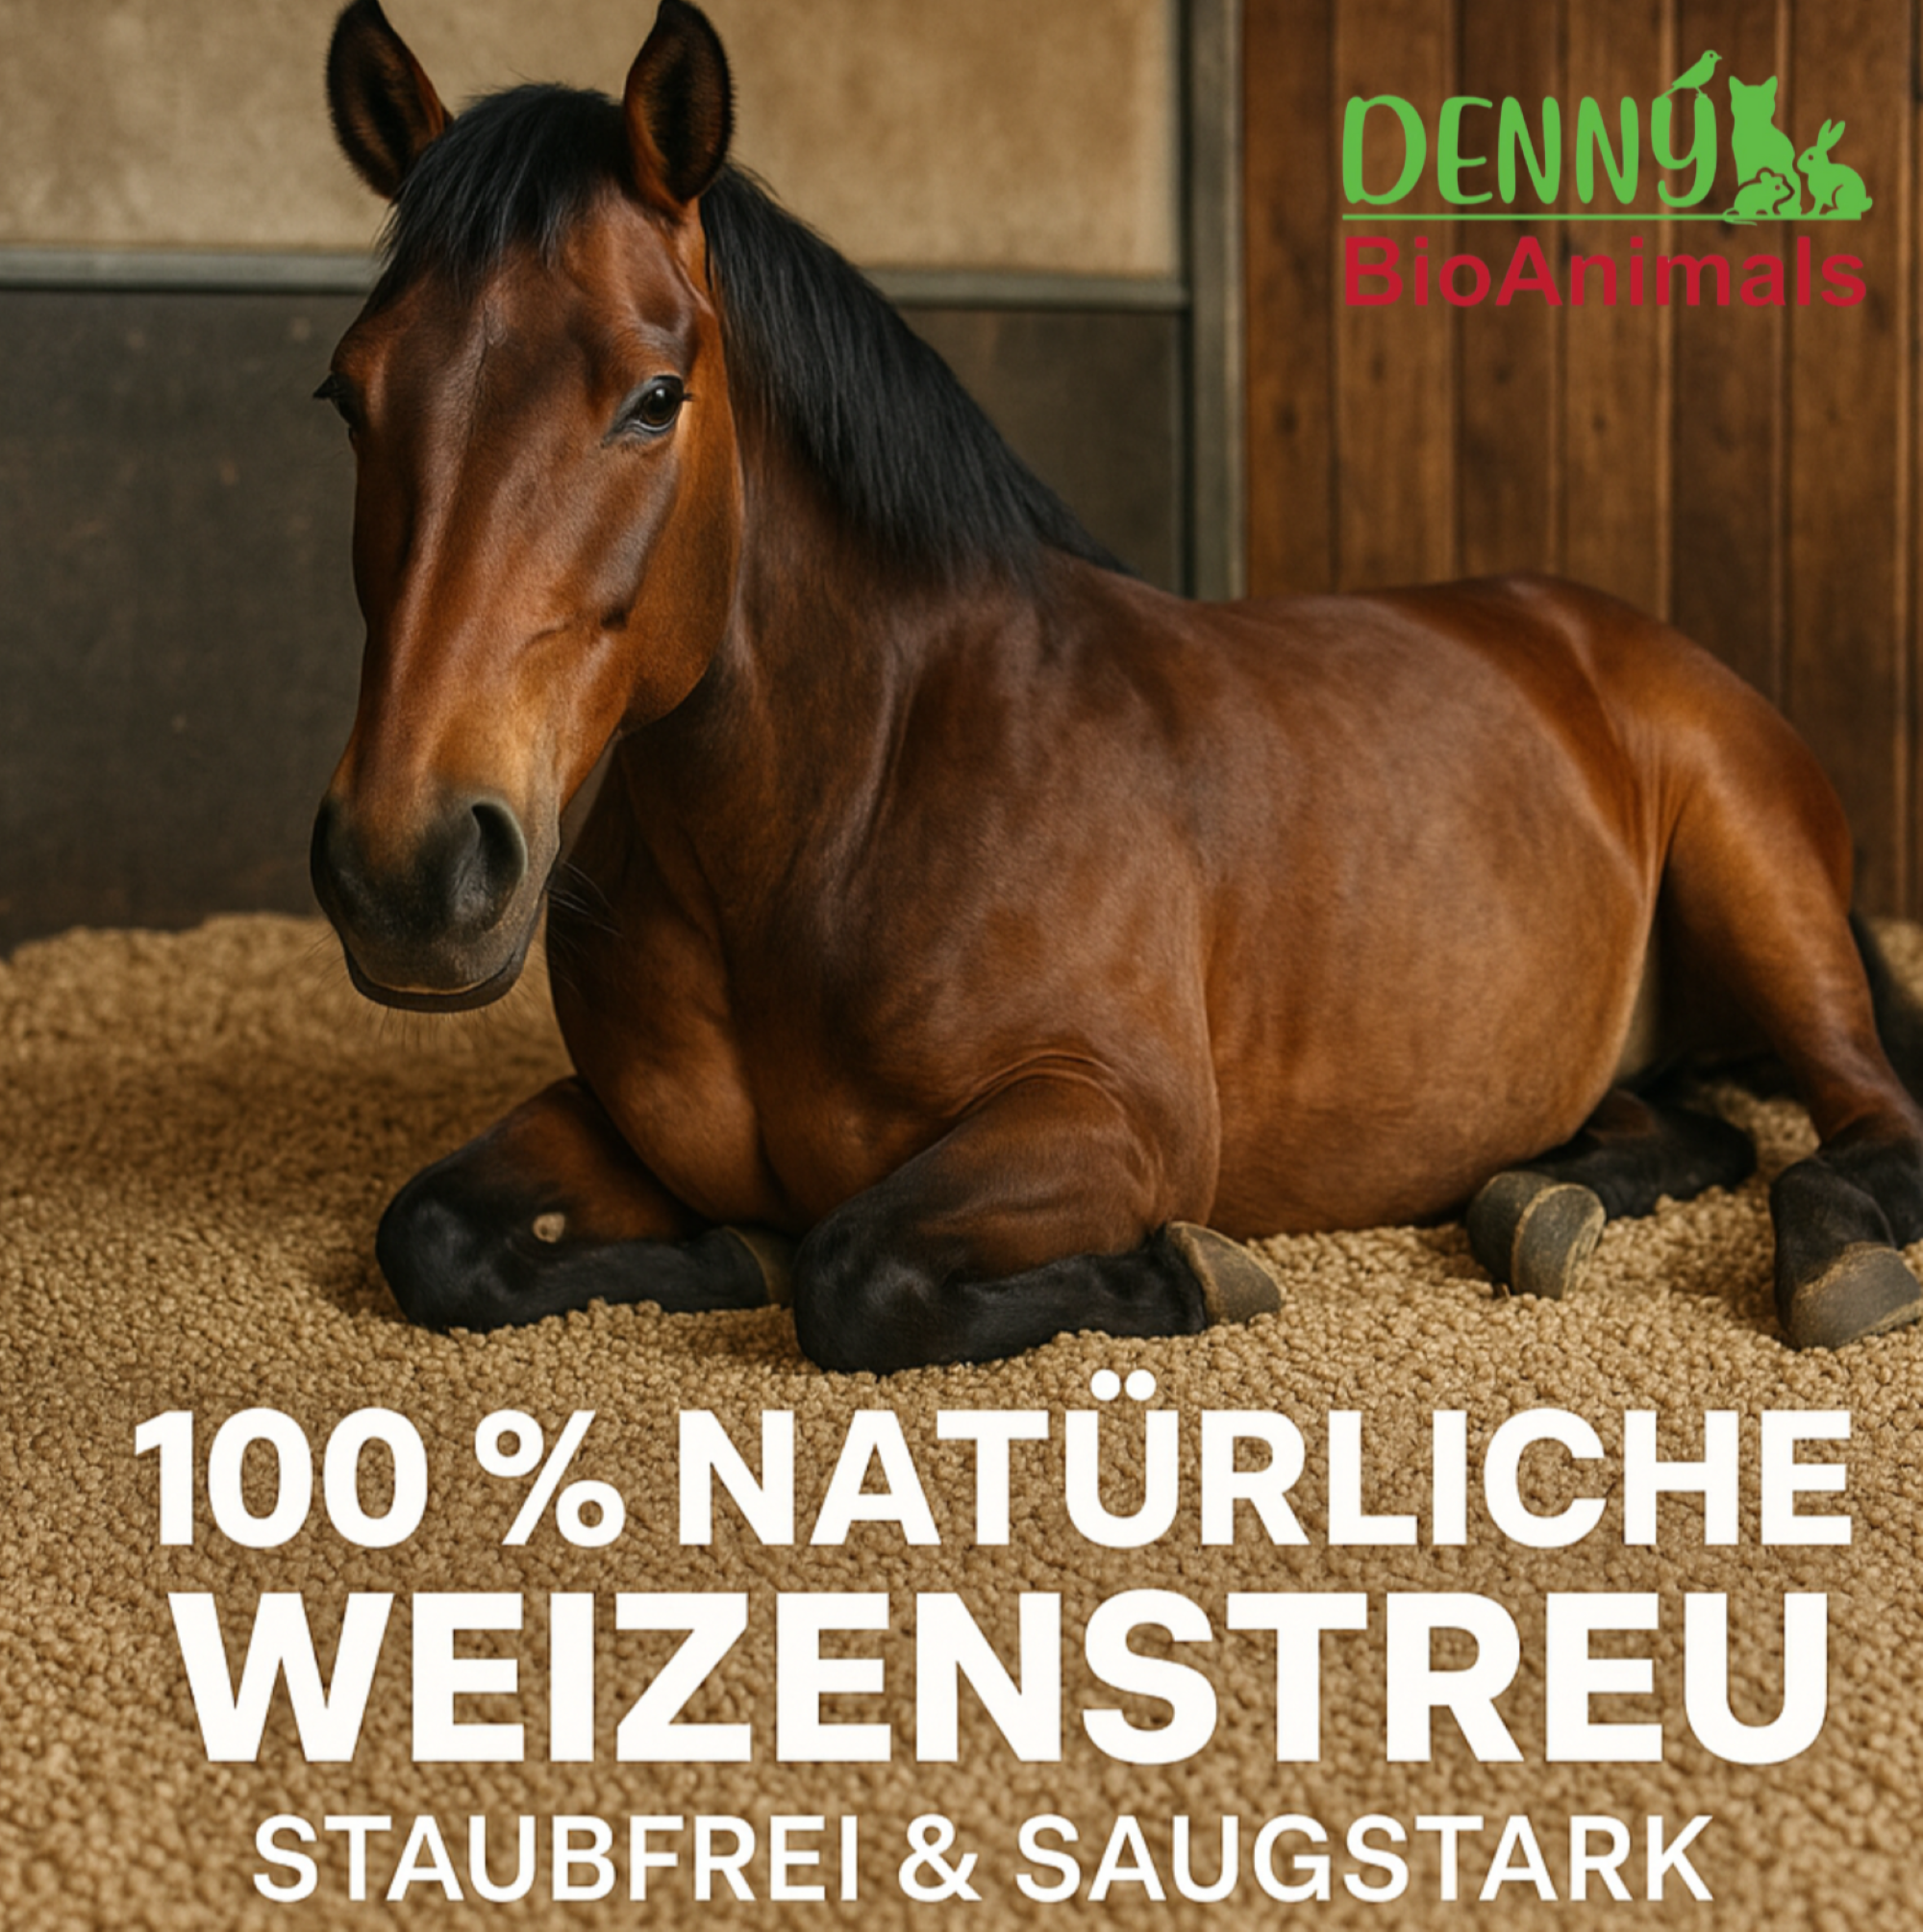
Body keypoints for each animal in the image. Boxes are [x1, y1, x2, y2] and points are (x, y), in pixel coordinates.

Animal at [310, 0, 1923, 1371]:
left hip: (1763, 883)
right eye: (348, 394)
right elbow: (434, 1233)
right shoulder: (620, 1120)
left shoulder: (1110, 1122)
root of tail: (1605, 634)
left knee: (1868, 1123)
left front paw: (1191, 1268)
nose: (407, 869)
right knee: (1694, 1125)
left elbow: (854, 1267)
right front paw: (724, 1251)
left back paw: (1835, 1259)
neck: (849, 808)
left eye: (655, 398)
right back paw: (1543, 1195)